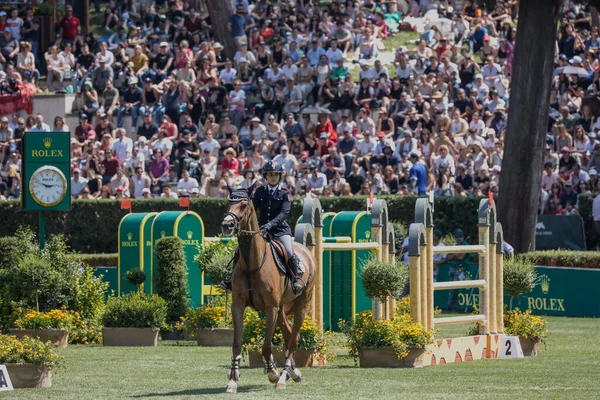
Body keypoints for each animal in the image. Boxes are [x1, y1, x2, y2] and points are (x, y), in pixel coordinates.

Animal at [221, 188, 316, 394]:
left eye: (243, 205)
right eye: (228, 203)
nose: (226, 225)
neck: (252, 263)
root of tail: (306, 252)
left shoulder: (270, 308)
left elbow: (266, 346)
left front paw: (272, 372)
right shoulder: (238, 306)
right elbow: (236, 343)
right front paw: (232, 379)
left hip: (300, 306)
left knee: (293, 338)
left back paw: (283, 376)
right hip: (281, 309)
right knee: (289, 335)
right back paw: (293, 373)